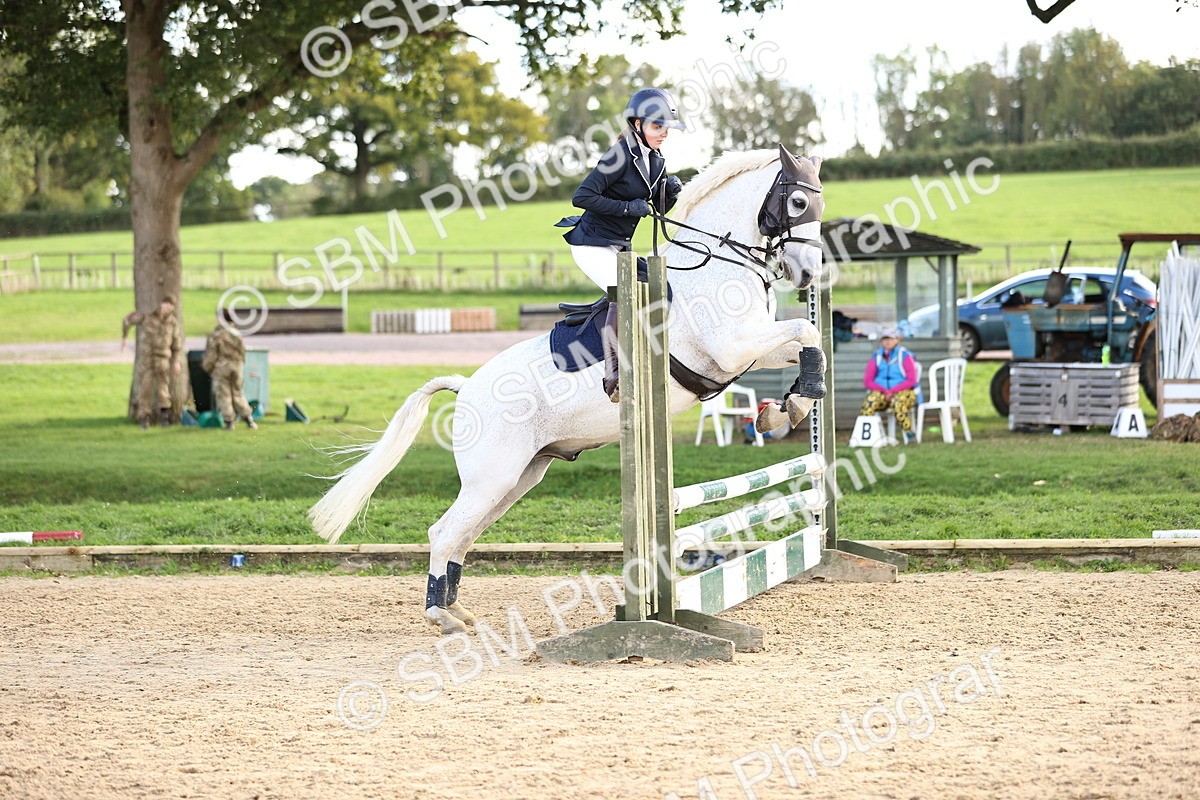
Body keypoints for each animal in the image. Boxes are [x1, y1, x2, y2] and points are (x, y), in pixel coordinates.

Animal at [309, 144, 828, 634]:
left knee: (465, 534)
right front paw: (793, 405)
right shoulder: (731, 347)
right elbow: (806, 328)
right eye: (799, 201)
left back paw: (457, 609)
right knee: (444, 531)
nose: (808, 275)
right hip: (493, 476)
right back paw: (441, 616)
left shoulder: (748, 351)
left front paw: (788, 407)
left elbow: (806, 341)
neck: (716, 267)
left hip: (518, 477)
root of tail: (466, 387)